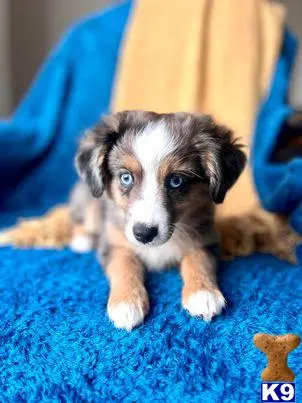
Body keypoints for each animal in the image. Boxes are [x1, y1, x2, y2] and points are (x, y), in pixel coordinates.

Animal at [70, 111, 245, 332]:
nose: (144, 234)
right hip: (89, 197)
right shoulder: (113, 241)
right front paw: (126, 303)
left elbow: (199, 260)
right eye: (126, 178)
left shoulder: (206, 237)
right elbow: (124, 264)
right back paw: (82, 238)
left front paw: (203, 294)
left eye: (176, 181)